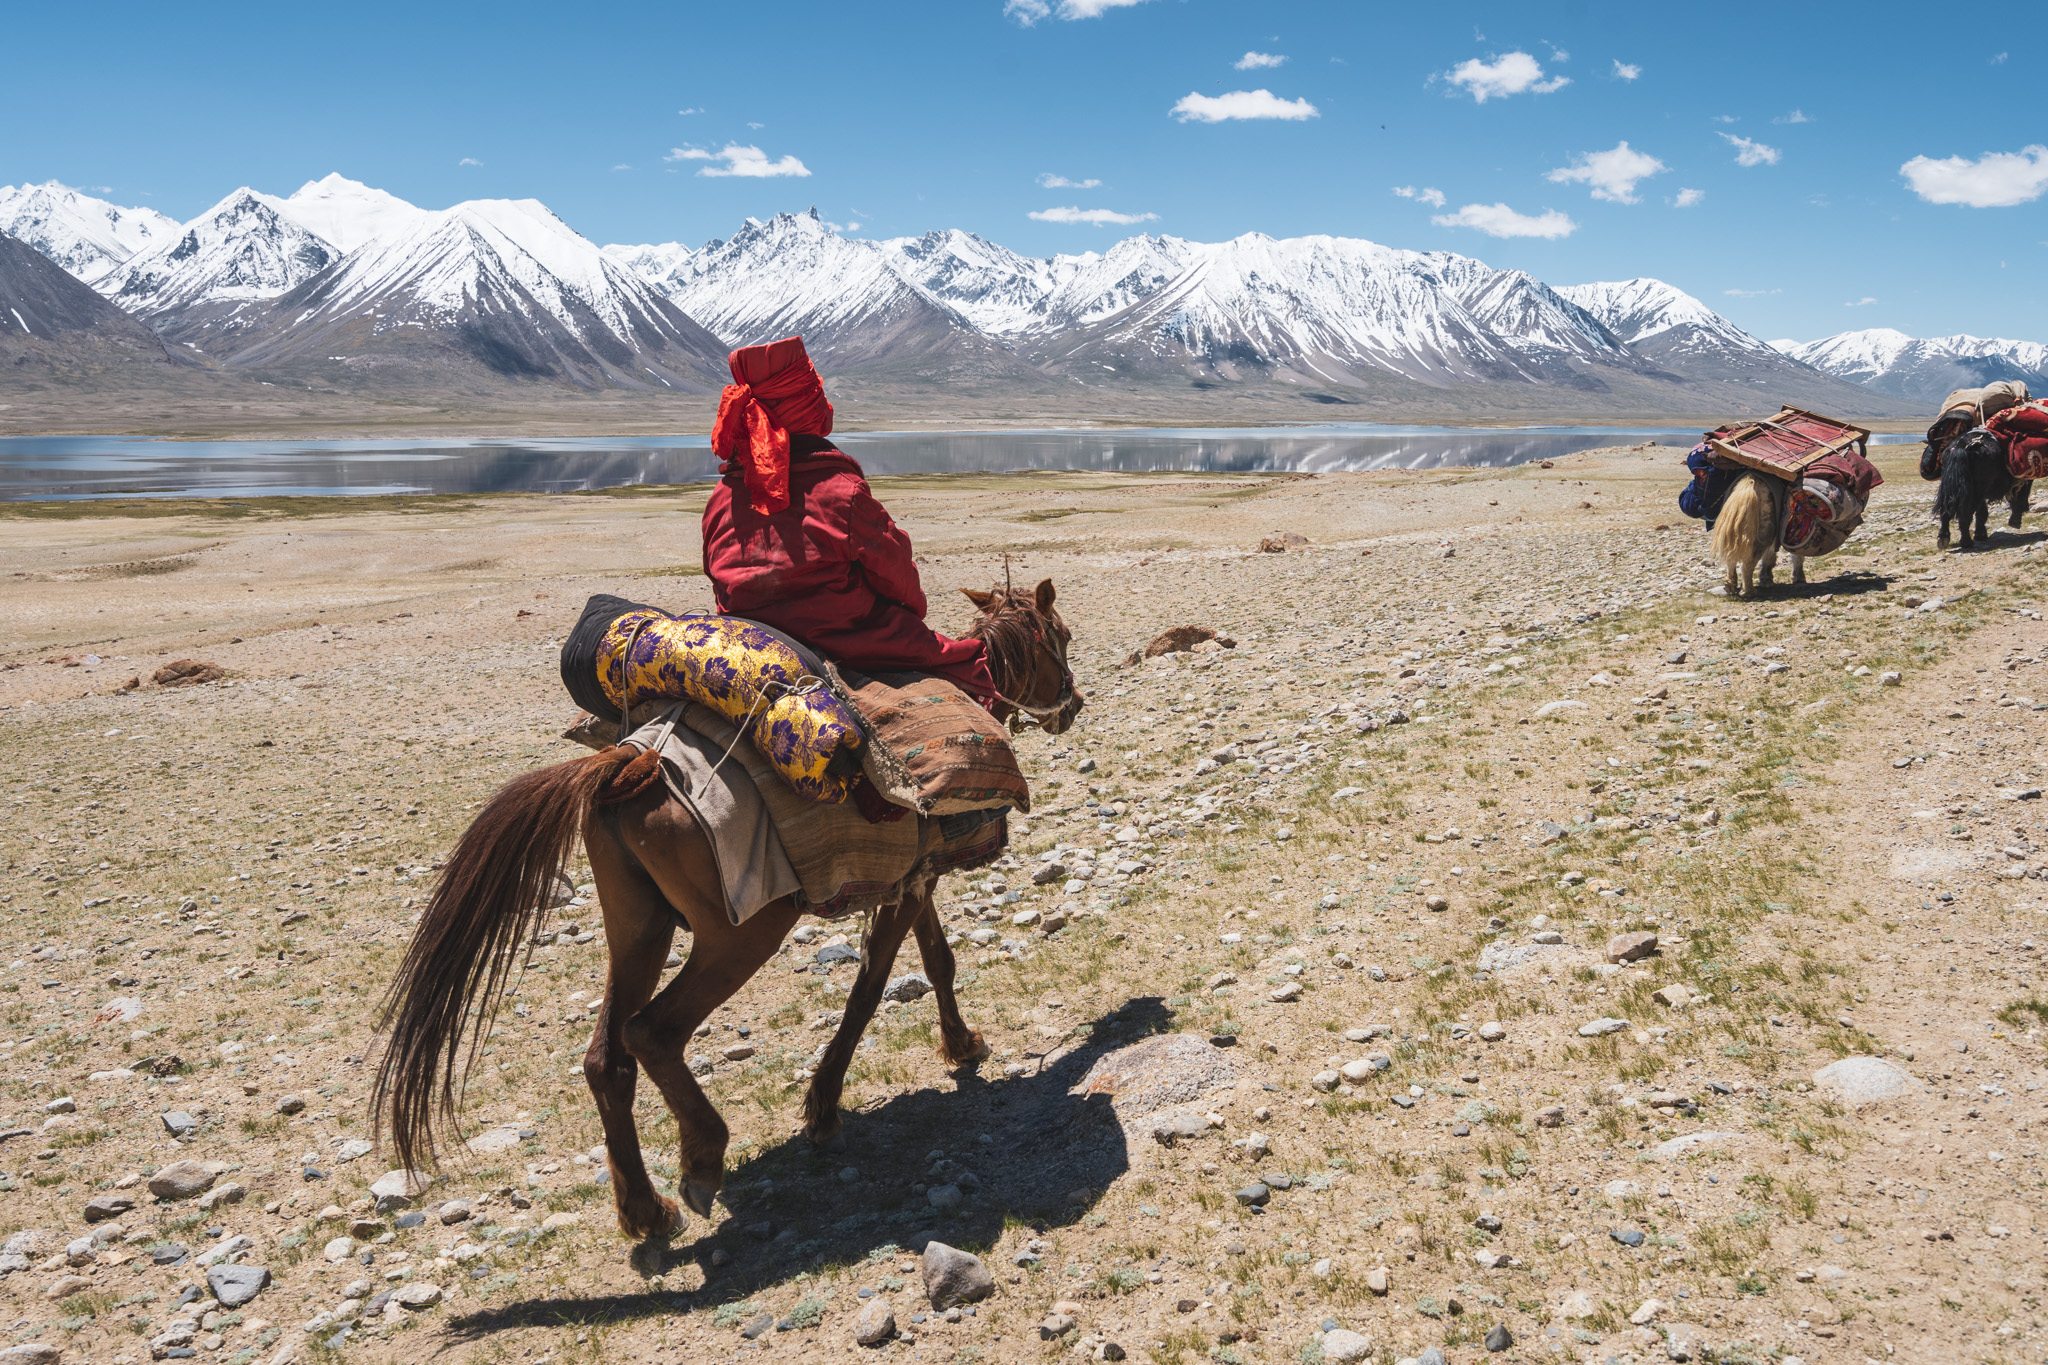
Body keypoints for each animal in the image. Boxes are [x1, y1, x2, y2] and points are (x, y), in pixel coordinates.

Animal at [370, 581, 1081, 1244]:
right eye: (1064, 636)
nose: (1071, 705)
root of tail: (633, 762)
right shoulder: (907, 884)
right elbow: (876, 984)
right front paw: (825, 1106)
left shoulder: (913, 878)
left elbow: (934, 960)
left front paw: (960, 1045)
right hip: (741, 933)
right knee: (651, 1033)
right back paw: (702, 1158)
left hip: (638, 927)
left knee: (605, 1056)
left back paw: (645, 1211)